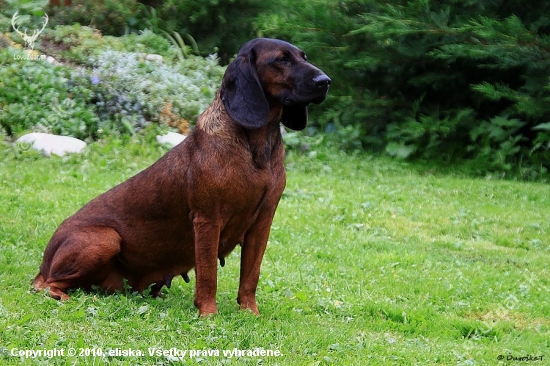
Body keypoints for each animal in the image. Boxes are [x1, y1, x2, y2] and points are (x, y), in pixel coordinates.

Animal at [34, 38, 332, 316]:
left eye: (303, 57)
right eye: (281, 60)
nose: (325, 82)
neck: (256, 149)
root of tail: (43, 263)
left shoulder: (262, 223)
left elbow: (250, 277)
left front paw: (250, 314)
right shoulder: (208, 220)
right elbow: (209, 276)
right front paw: (208, 315)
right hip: (106, 238)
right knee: (45, 285)